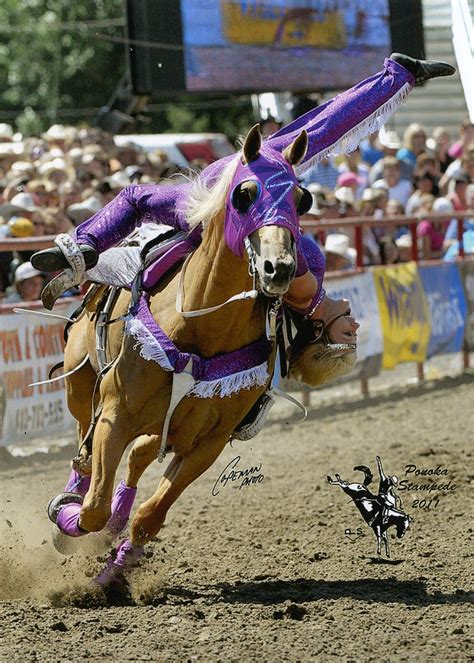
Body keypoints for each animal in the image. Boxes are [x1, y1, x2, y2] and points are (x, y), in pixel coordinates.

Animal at [51, 124, 326, 580]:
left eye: (302, 199)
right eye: (245, 194)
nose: (280, 268)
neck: (202, 327)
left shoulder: (207, 442)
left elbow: (149, 516)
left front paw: (115, 569)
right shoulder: (115, 413)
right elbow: (92, 508)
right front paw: (67, 519)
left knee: (139, 456)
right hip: (80, 385)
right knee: (86, 459)